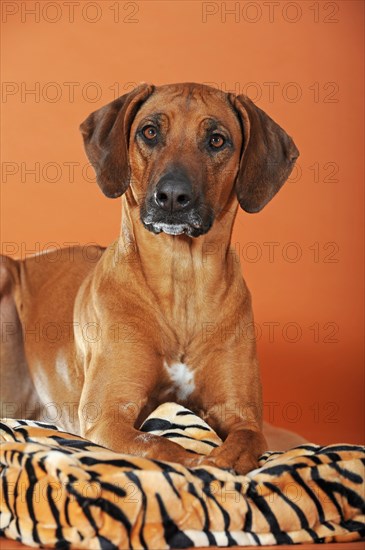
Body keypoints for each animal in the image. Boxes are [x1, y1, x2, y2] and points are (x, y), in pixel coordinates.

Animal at [0, 82, 298, 474]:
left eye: (217, 140)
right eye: (150, 132)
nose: (172, 196)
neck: (181, 281)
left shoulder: (241, 415)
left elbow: (245, 439)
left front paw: (223, 461)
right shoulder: (107, 415)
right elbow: (162, 445)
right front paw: (199, 464)